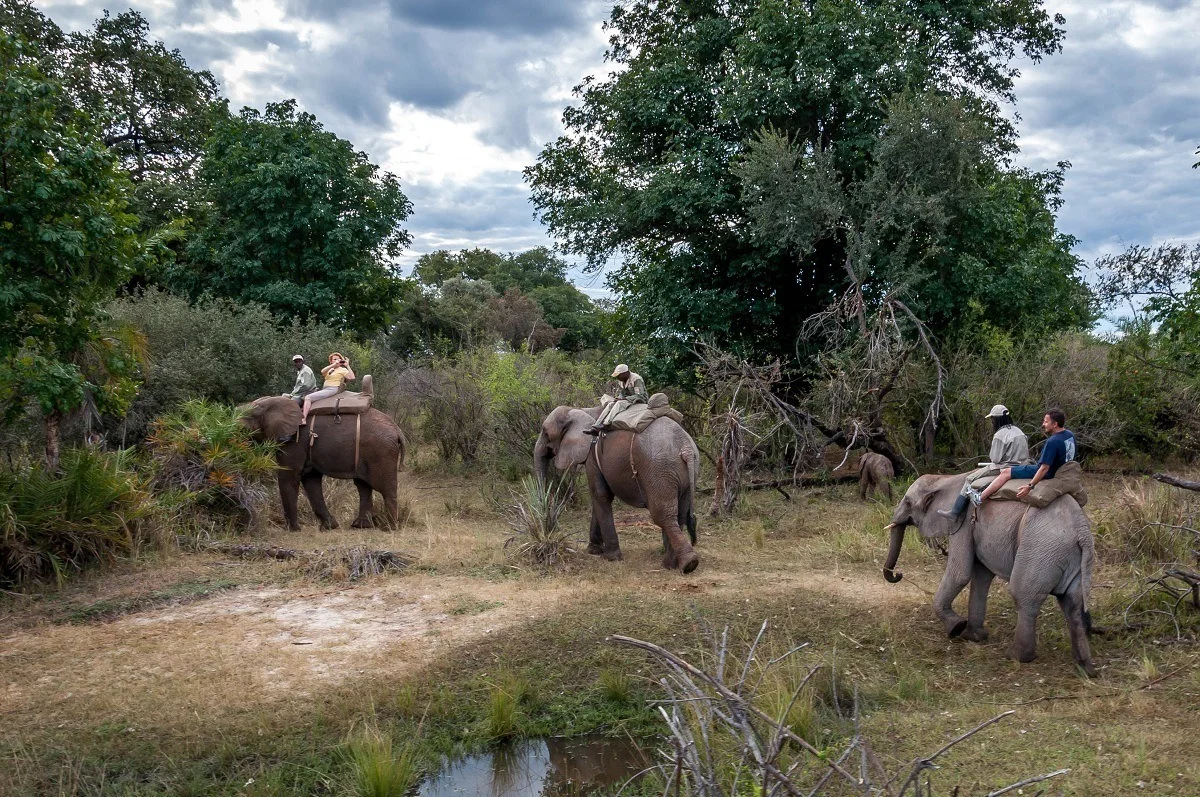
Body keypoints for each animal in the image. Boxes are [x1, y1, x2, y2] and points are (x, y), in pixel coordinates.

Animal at [241, 393, 405, 528]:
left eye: (244, 428)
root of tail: (398, 431)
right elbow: (311, 480)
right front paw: (331, 526)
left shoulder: (294, 440)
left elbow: (288, 476)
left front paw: (292, 529)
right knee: (363, 485)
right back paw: (361, 526)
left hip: (381, 452)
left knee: (385, 488)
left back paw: (389, 527)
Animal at [537, 405, 700, 573]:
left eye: (545, 432)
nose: (554, 527)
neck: (583, 411)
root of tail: (686, 448)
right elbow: (599, 499)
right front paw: (594, 551)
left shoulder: (592, 454)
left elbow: (600, 495)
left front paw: (610, 558)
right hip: (684, 474)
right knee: (679, 515)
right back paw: (673, 564)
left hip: (659, 470)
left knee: (663, 515)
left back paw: (686, 564)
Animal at [883, 472, 1099, 676]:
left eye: (908, 502)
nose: (898, 574)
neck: (945, 479)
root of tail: (1082, 532)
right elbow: (981, 575)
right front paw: (973, 637)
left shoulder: (962, 523)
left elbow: (960, 572)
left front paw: (956, 628)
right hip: (1071, 557)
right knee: (1072, 604)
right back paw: (1085, 668)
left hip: (1040, 550)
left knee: (1024, 598)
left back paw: (1016, 656)